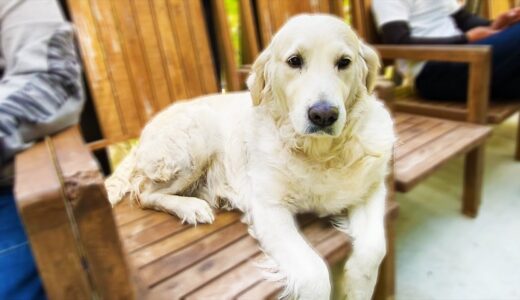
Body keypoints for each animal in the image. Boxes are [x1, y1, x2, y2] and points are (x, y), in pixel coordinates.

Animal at [108, 14, 394, 300]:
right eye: (294, 61)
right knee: (144, 193)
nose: (323, 115)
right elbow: (314, 274)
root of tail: (143, 134)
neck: (319, 153)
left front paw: (356, 289)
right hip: (197, 140)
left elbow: (374, 249)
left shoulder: (371, 190)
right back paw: (191, 207)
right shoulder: (269, 207)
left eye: (344, 62)